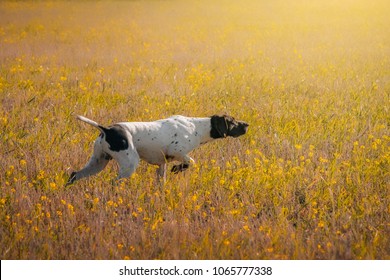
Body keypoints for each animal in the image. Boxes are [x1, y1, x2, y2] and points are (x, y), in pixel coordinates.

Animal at [66, 113, 250, 184]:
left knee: (74, 174)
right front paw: (178, 169)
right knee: (113, 182)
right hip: (129, 164)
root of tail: (107, 129)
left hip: (98, 162)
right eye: (233, 121)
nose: (247, 124)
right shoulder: (177, 151)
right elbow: (191, 161)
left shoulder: (162, 164)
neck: (196, 127)